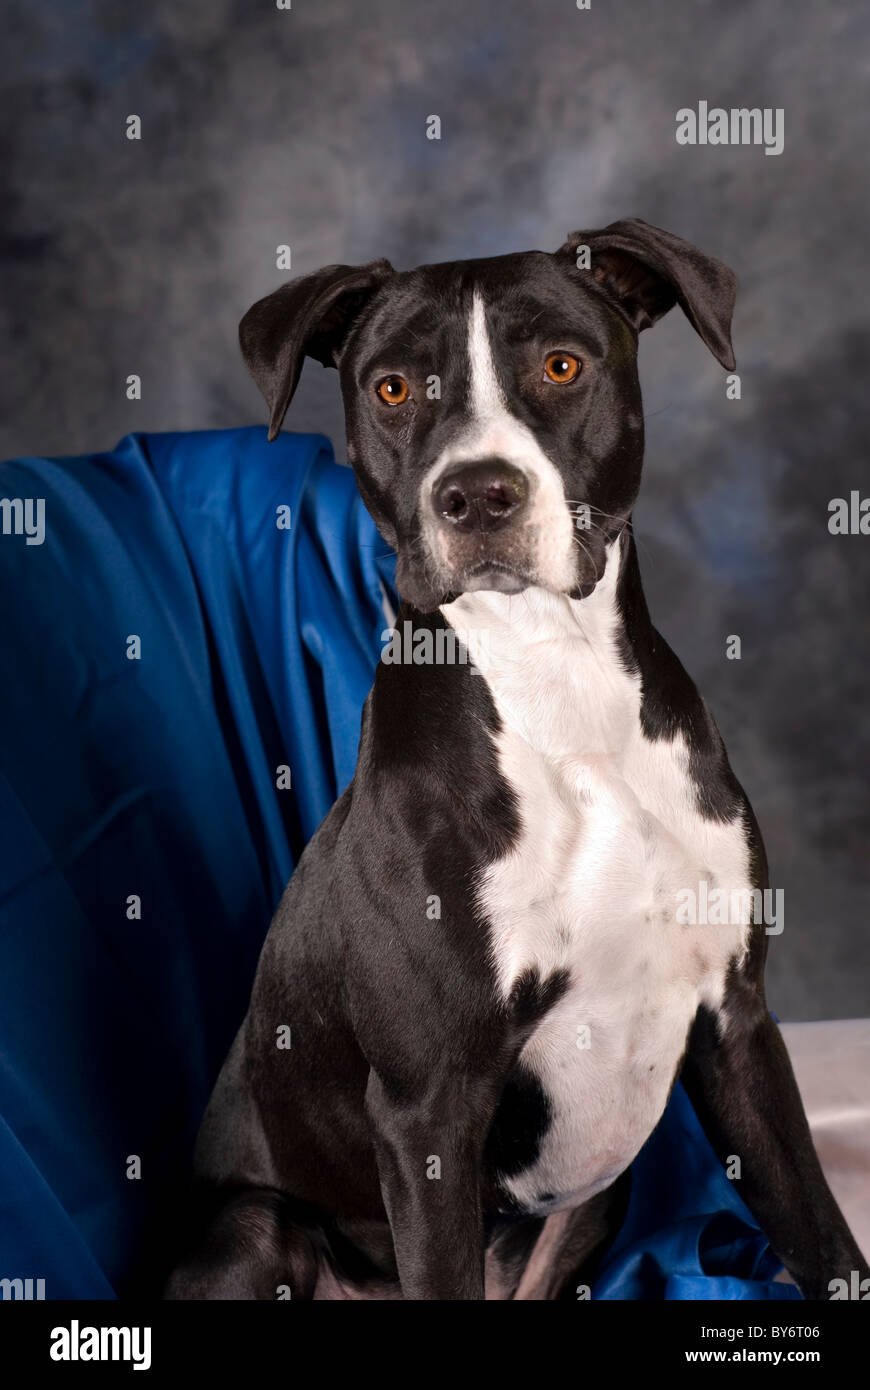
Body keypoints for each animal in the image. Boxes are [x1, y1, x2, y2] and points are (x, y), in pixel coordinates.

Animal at [163, 219, 867, 1301]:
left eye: (562, 365)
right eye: (393, 387)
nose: (477, 495)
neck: (559, 683)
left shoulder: (737, 1026)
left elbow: (824, 1240)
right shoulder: (429, 1108)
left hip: (599, 1205)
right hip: (253, 1228)